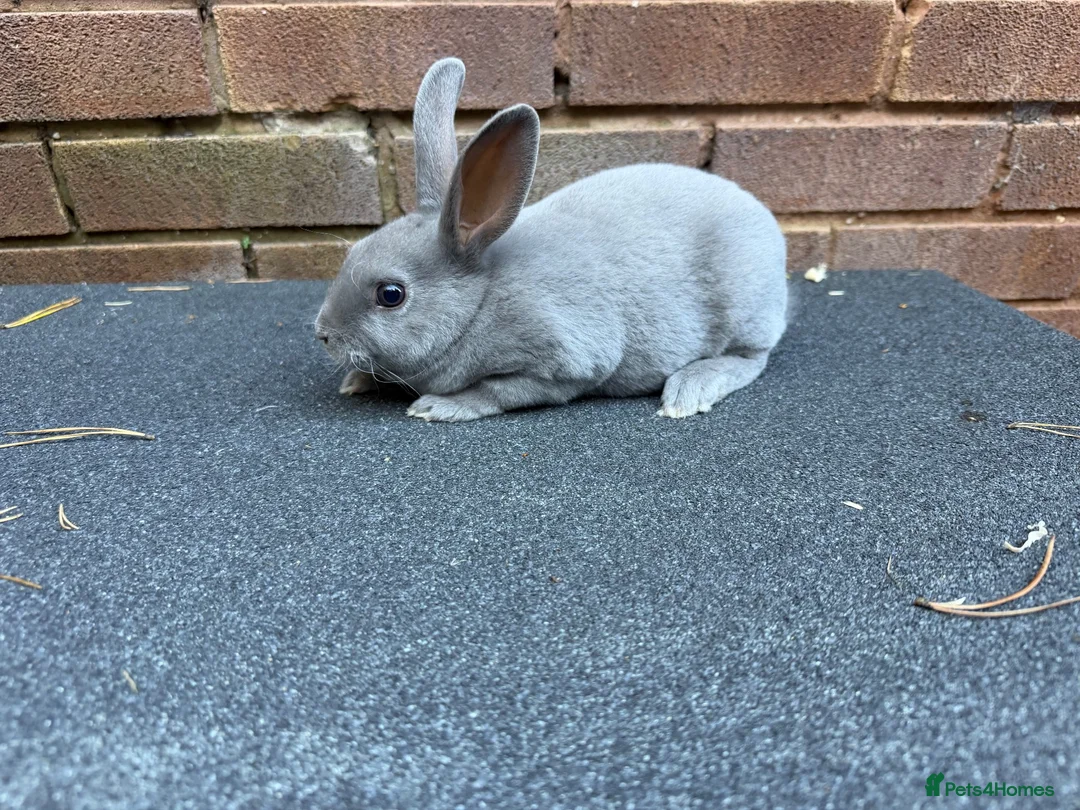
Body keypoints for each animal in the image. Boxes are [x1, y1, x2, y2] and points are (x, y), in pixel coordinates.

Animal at [315, 57, 788, 422]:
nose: (324, 335)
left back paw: (688, 391)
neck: (480, 301)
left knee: (750, 359)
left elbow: (498, 392)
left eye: (391, 295)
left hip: (743, 310)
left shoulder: (562, 365)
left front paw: (438, 407)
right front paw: (355, 382)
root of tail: (766, 222)